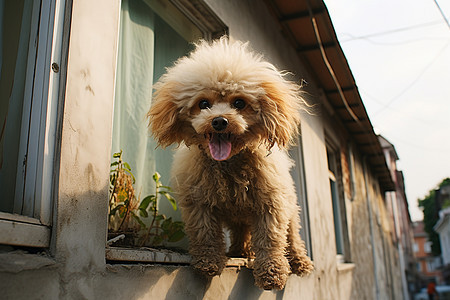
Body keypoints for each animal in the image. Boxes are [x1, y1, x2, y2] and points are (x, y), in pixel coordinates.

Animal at [148, 38, 312, 290]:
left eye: (239, 103)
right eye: (203, 103)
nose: (219, 121)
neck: (228, 164)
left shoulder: (271, 203)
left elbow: (270, 239)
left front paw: (272, 273)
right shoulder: (199, 203)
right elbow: (205, 233)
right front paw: (208, 262)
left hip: (289, 205)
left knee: (292, 234)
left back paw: (299, 260)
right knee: (241, 230)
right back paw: (239, 251)